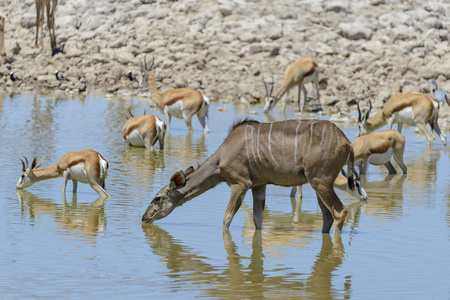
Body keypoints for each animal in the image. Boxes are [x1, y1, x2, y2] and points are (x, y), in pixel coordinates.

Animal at [142, 118, 356, 237]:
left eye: (157, 198)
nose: (145, 217)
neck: (222, 155)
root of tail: (347, 142)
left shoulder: (240, 183)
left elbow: (226, 220)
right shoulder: (259, 185)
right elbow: (257, 220)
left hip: (320, 182)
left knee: (340, 212)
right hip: (317, 184)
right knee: (327, 216)